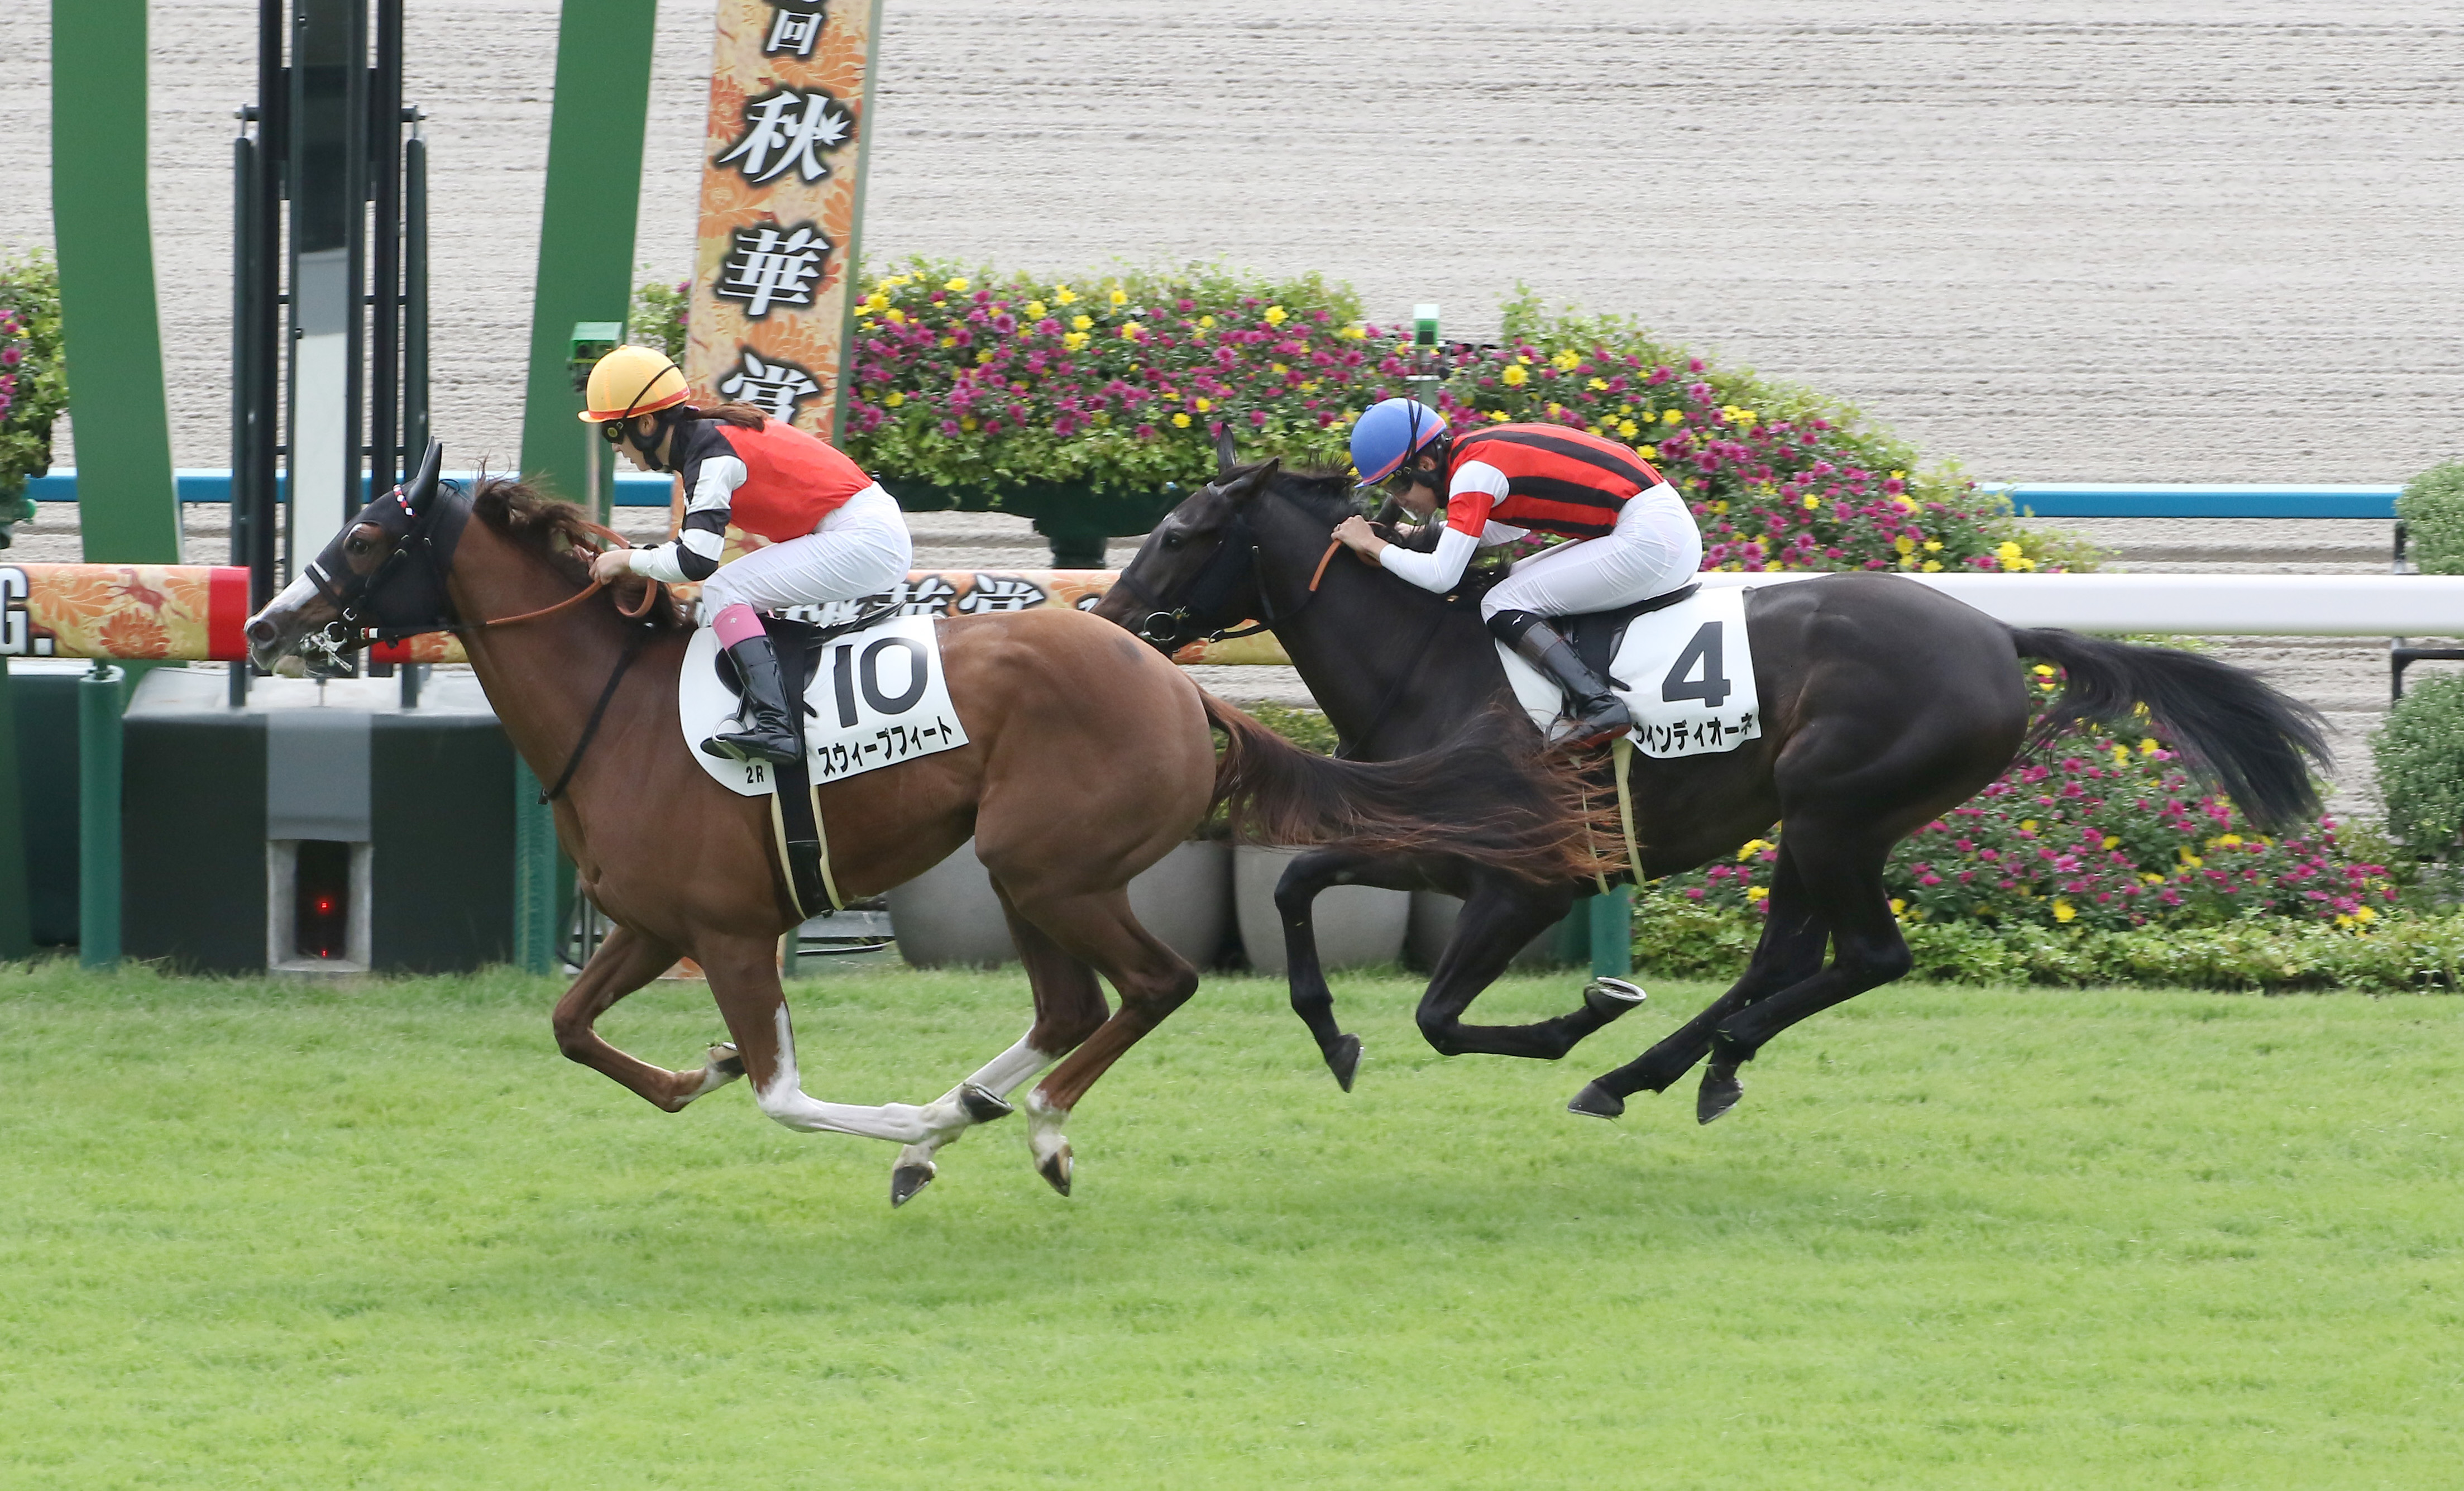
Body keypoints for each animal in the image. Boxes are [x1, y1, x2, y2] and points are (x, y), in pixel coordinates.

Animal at [245, 448, 1596, 1202]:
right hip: (1021, 871)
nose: (263, 624)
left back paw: (1022, 1126)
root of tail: (1182, 687)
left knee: (1148, 988)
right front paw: (699, 1071)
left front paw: (876, 1115)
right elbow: (575, 1027)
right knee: (1071, 1007)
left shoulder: (731, 934)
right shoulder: (652, 923)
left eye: (362, 536)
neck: (614, 708)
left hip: (1046, 867)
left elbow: (783, 1096)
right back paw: (974, 1116)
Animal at [1099, 458, 2326, 1124]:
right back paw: (1666, 1072)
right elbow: (1298, 884)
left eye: (1181, 531)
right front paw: (1331, 1036)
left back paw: (1654, 1062)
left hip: (1836, 807)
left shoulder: (1529, 881)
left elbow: (1441, 1017)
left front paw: (1583, 1013)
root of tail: (1994, 632)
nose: (1107, 622)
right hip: (1816, 823)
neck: (1433, 666)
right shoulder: (1436, 850)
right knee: (1784, 958)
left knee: (1864, 957)